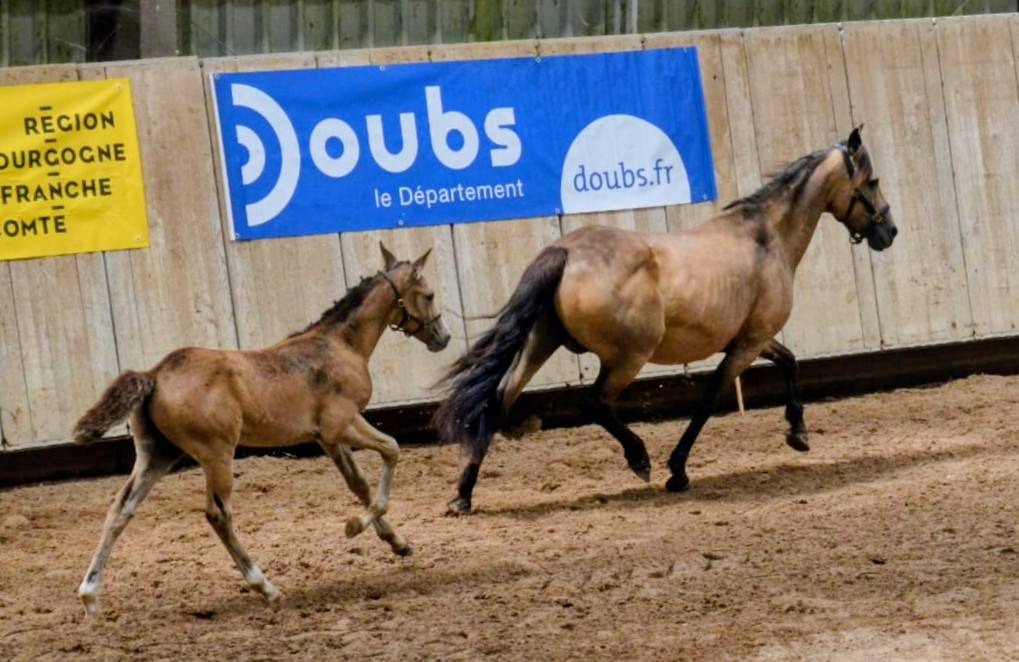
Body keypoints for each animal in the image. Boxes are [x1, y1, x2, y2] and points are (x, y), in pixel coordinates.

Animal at [73, 243, 450, 615]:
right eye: (429, 295)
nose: (443, 337)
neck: (340, 345)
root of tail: (155, 374)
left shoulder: (326, 438)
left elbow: (357, 482)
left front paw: (398, 543)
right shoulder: (342, 424)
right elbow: (391, 449)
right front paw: (354, 525)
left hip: (158, 455)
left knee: (120, 509)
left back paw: (90, 596)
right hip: (217, 455)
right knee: (218, 515)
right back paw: (266, 587)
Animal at [435, 126, 897, 515]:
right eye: (873, 181)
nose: (889, 231)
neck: (767, 239)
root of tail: (565, 251)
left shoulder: (753, 338)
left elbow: (789, 361)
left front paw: (797, 433)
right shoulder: (747, 345)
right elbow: (711, 399)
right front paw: (678, 470)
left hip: (540, 342)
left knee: (499, 399)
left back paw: (463, 495)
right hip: (628, 357)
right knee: (593, 402)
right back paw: (639, 458)